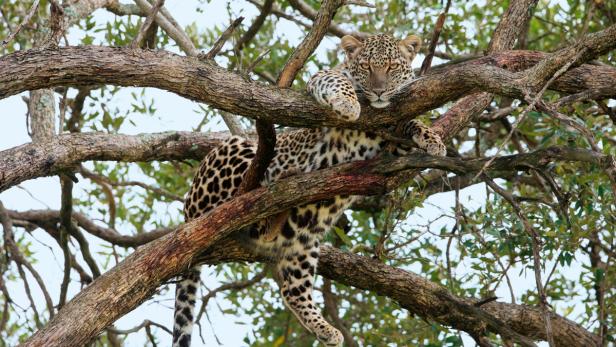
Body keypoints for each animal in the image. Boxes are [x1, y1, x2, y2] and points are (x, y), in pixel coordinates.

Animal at [173, 33, 448, 347]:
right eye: (366, 66)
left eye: (391, 67)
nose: (378, 92)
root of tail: (188, 212)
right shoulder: (322, 77)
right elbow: (336, 81)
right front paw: (349, 105)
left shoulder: (390, 147)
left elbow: (411, 123)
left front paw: (434, 140)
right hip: (234, 151)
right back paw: (281, 178)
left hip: (303, 243)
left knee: (291, 289)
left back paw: (326, 329)